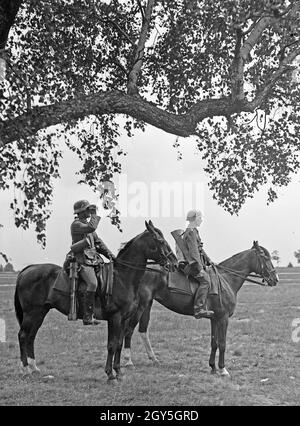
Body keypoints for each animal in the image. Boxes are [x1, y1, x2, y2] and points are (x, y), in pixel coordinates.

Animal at [14, 221, 178, 382]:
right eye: (160, 241)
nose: (175, 263)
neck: (122, 278)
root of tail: (26, 270)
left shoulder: (124, 319)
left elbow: (119, 344)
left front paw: (119, 372)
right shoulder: (115, 318)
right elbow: (111, 345)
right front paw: (110, 374)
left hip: (40, 313)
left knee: (31, 336)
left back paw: (34, 368)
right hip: (32, 313)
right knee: (23, 335)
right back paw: (25, 370)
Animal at [122, 241, 278, 378]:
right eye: (265, 257)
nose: (275, 278)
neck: (226, 279)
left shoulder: (215, 319)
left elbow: (214, 343)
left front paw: (213, 367)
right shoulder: (223, 319)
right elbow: (222, 343)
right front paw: (223, 369)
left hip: (147, 305)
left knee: (143, 330)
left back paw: (153, 359)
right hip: (140, 306)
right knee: (128, 330)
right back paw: (128, 361)